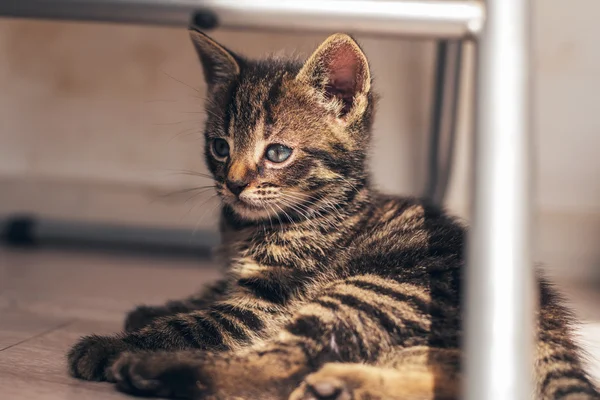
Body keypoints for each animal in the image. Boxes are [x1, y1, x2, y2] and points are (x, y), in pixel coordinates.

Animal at [68, 28, 596, 400]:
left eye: (277, 153)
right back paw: (341, 385)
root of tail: (545, 316)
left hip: (371, 289)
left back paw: (150, 370)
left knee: (285, 361)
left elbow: (203, 323)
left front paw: (119, 343)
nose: (233, 184)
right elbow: (209, 293)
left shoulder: (271, 299)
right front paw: (158, 306)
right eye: (219, 147)